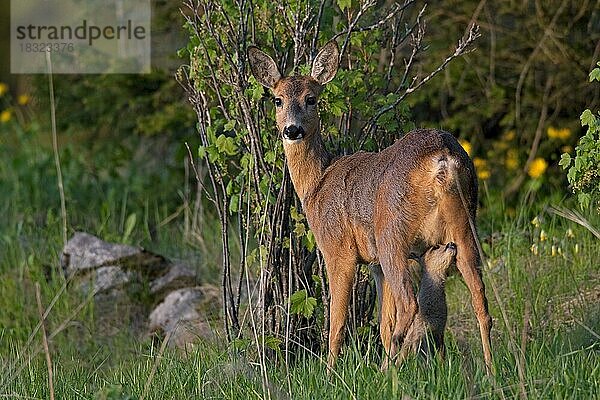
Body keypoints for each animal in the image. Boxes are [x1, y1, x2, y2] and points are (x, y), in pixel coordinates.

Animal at [247, 39, 492, 370]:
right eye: (277, 100)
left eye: (311, 99)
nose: (292, 130)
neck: (316, 185)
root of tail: (442, 158)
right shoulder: (375, 264)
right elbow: (383, 322)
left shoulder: (338, 249)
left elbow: (337, 322)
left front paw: (330, 371)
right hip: (465, 225)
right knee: (480, 299)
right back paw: (489, 369)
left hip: (391, 233)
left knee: (409, 304)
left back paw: (391, 369)